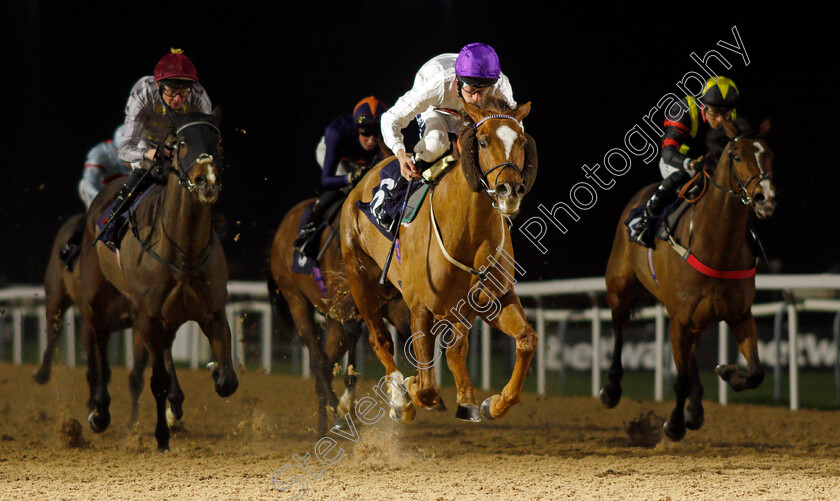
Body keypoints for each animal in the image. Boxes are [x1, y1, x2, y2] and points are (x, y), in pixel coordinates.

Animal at [33, 213, 186, 428]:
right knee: (55, 327)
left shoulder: (143, 320)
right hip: (57, 293)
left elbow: (137, 374)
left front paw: (137, 419)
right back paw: (44, 373)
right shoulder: (99, 320)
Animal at [78, 112, 236, 450]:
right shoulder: (147, 316)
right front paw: (161, 436)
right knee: (99, 344)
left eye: (217, 140)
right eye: (181, 143)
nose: (206, 180)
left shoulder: (213, 313)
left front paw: (213, 369)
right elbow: (157, 380)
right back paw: (99, 411)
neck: (183, 252)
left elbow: (227, 380)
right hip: (97, 298)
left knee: (164, 350)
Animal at [270, 198, 410, 434]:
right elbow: (353, 337)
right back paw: (335, 417)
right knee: (318, 361)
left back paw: (325, 423)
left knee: (325, 363)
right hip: (295, 298)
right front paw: (344, 407)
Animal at [340, 97, 540, 422]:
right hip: (359, 274)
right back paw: (400, 398)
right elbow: (427, 388)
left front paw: (492, 402)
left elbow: (525, 339)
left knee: (455, 347)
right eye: (483, 141)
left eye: (522, 142)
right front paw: (410, 391)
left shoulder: (492, 298)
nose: (509, 191)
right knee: (379, 338)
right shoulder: (421, 306)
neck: (467, 232)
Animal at [604, 119, 776, 440]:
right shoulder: (681, 319)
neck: (717, 247)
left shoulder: (739, 314)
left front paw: (728, 373)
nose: (765, 198)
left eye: (770, 155)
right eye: (737, 156)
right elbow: (680, 380)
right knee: (619, 328)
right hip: (620, 287)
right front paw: (673, 425)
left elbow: (757, 372)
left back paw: (695, 410)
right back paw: (611, 389)